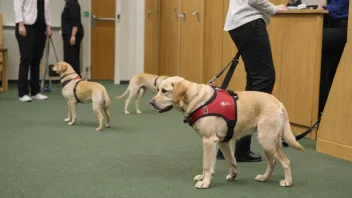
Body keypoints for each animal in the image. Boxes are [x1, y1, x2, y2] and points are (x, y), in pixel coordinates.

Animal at [150, 76, 304, 189]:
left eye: (164, 91)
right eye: (158, 89)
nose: (151, 102)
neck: (197, 99)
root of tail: (278, 102)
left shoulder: (209, 140)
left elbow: (207, 164)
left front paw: (205, 182)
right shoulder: (223, 142)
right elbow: (231, 161)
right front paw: (231, 175)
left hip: (267, 141)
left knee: (285, 161)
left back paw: (287, 181)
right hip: (268, 142)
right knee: (273, 162)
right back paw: (264, 178)